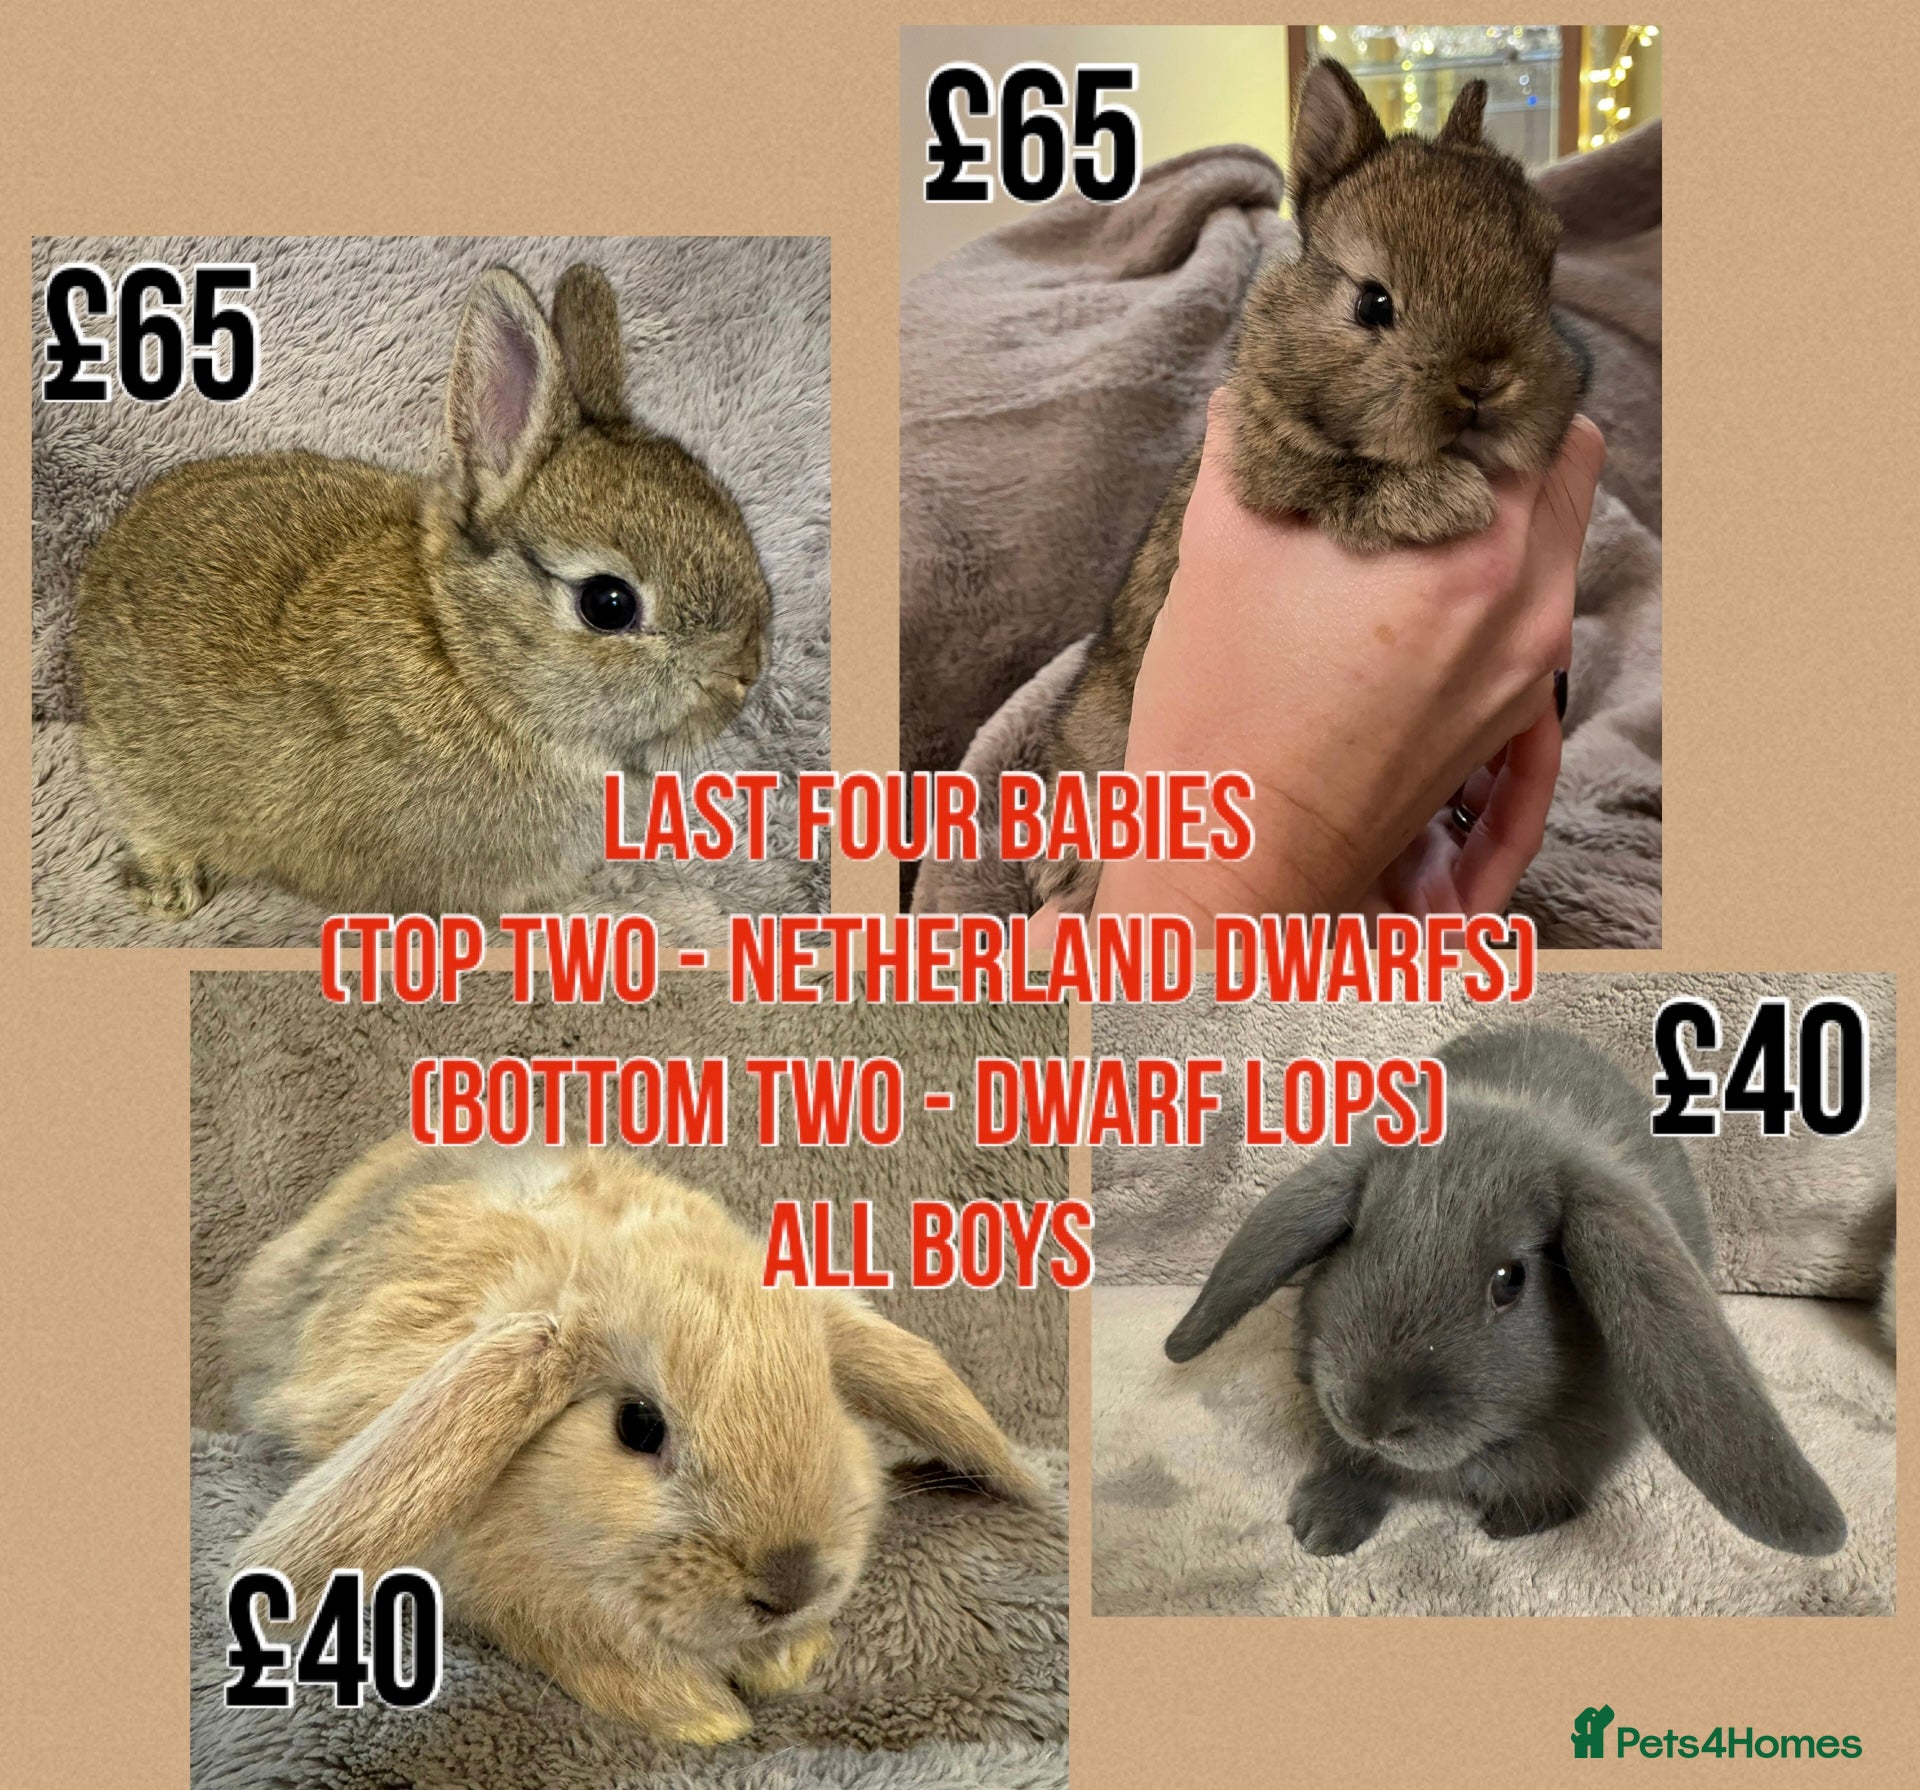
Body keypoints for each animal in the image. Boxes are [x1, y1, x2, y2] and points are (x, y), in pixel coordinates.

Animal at [1039, 61, 1590, 913]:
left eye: (1544, 277)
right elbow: (1350, 475)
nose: (1485, 386)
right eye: (1373, 302)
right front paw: (1454, 501)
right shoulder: (1272, 462)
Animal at [1164, 1024, 1848, 1560]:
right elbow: (1356, 1470)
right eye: (1352, 1237)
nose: (1368, 1419)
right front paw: (1322, 1525)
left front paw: (1515, 1524)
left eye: (1510, 1281)